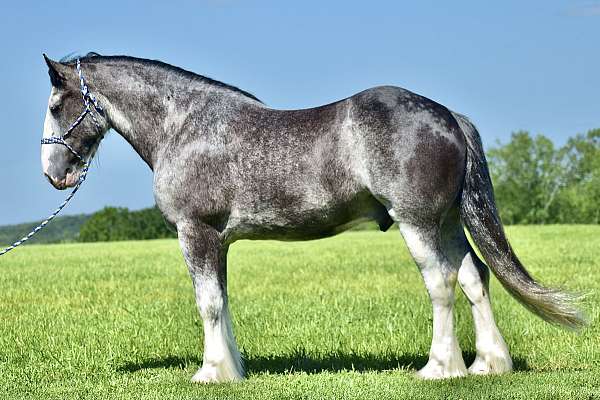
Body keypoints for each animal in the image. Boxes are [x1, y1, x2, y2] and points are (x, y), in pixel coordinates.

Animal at [39, 52, 584, 382]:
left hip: (418, 223)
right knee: (474, 276)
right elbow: (222, 302)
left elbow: (208, 304)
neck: (186, 126)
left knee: (442, 282)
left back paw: (440, 368)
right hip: (448, 222)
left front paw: (211, 373)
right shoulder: (218, 241)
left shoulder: (196, 232)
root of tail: (449, 116)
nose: (53, 172)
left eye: (56, 103)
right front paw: (233, 369)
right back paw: (489, 365)